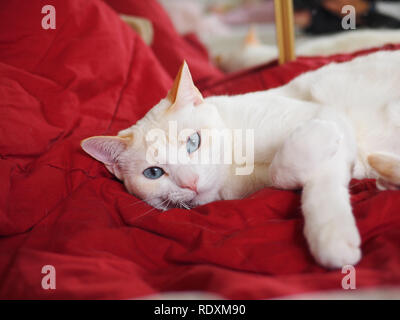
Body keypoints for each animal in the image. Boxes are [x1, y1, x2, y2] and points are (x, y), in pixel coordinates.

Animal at [81, 51, 400, 268]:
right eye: (154, 173)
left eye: (193, 142)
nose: (190, 182)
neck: (236, 171)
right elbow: (282, 173)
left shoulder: (328, 117)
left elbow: (310, 177)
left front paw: (332, 239)